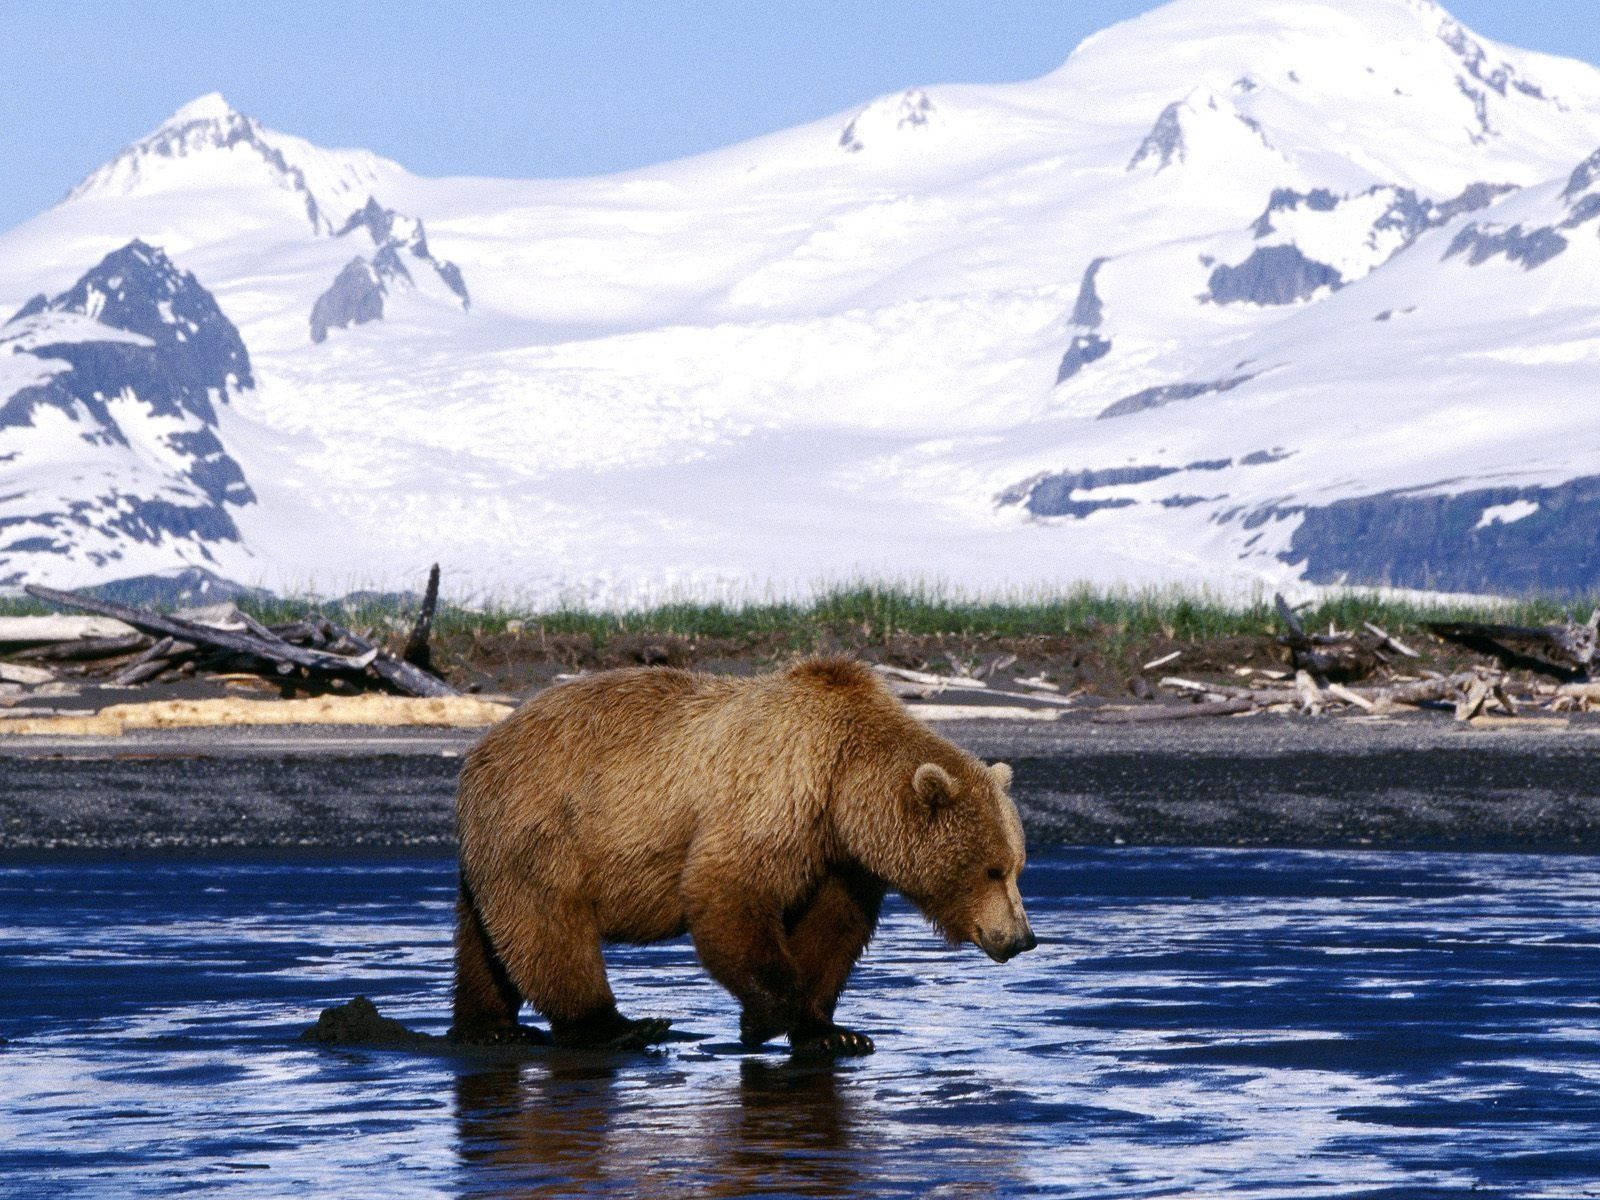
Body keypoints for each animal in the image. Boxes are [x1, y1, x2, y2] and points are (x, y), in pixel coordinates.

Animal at [450, 656, 1035, 1057]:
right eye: (991, 870)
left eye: (1017, 866)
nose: (1022, 937)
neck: (844, 786)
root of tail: (481, 748)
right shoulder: (778, 792)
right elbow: (727, 888)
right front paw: (761, 1020)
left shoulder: (840, 858)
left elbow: (832, 931)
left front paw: (834, 1033)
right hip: (546, 825)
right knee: (549, 925)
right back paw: (617, 1026)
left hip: (498, 844)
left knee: (486, 937)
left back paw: (490, 1026)